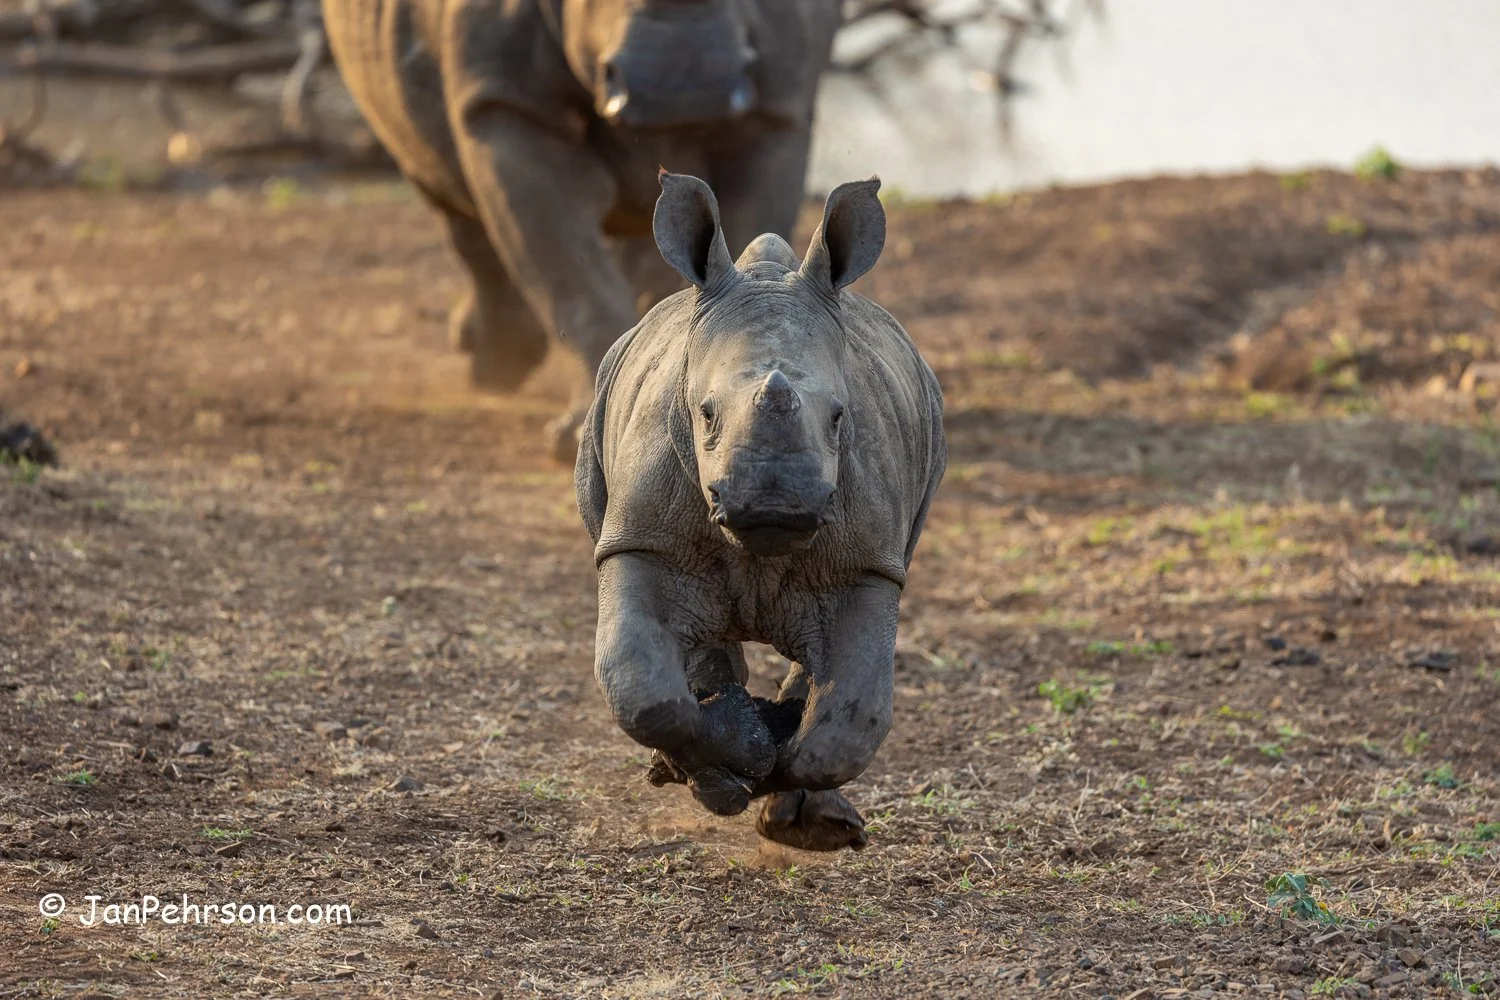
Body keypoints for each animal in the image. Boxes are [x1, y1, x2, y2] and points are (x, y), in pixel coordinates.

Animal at [323, 0, 844, 456]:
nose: (681, 86)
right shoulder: (505, 101)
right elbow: (568, 273)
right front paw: (583, 434)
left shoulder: (776, 109)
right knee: (443, 185)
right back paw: (492, 366)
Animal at [575, 171, 946, 851]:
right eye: (706, 414)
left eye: (839, 418)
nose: (776, 505)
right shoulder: (638, 536)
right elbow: (639, 682)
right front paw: (743, 751)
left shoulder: (870, 562)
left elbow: (851, 719)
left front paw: (785, 776)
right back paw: (715, 766)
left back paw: (807, 816)